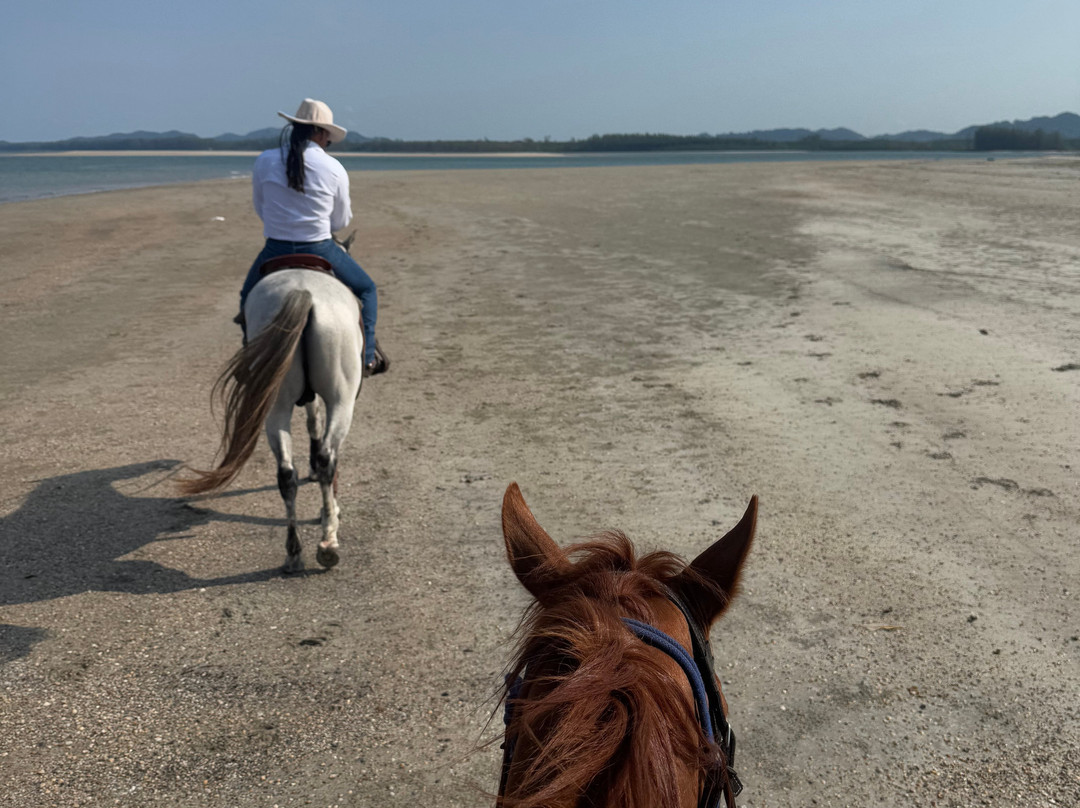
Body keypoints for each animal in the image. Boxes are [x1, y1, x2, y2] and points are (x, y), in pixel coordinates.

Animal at [180, 267, 363, 573]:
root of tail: (304, 292)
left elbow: (312, 420)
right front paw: (331, 511)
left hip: (275, 405)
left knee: (286, 474)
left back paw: (293, 553)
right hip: (342, 401)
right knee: (327, 459)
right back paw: (328, 542)